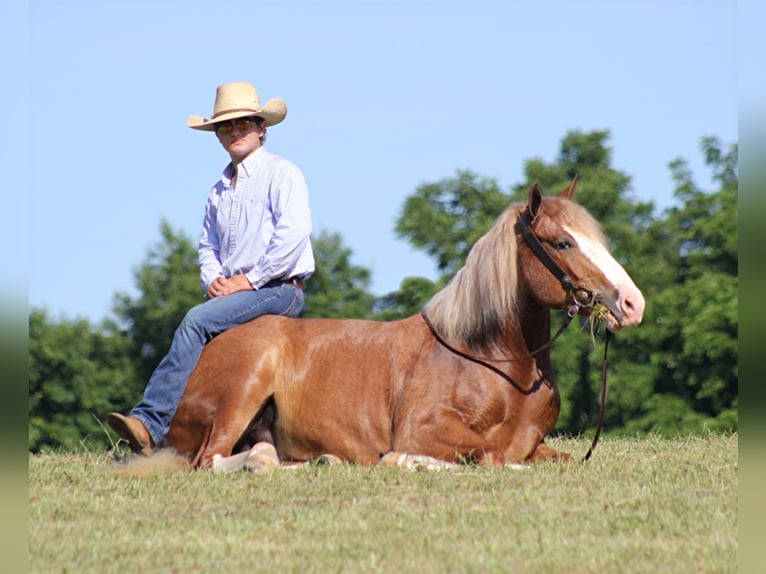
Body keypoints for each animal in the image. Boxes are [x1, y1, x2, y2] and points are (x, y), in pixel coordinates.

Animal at [148, 182, 640, 474]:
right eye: (563, 243)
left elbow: (554, 459)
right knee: (213, 460)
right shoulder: (426, 429)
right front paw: (401, 460)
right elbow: (491, 456)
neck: (488, 357)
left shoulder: (537, 446)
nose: (632, 303)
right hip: (245, 389)